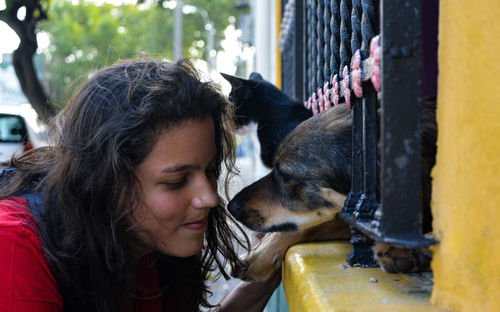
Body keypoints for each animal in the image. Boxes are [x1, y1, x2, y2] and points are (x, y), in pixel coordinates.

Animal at [229, 101, 436, 282]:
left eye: (285, 175)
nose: (231, 207)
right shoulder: (349, 214)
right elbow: (311, 225)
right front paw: (258, 256)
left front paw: (407, 247)